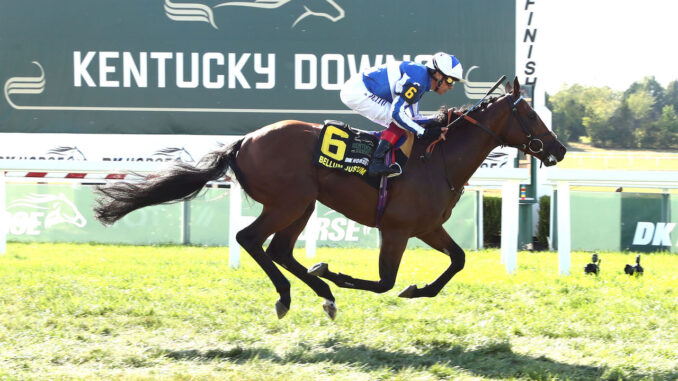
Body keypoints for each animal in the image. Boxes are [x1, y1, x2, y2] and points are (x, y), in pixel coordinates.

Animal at [94, 78, 568, 320]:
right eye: (530, 114)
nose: (559, 149)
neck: (439, 158)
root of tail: (243, 140)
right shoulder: (396, 229)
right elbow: (384, 281)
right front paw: (336, 273)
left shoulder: (428, 227)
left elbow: (458, 260)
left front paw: (419, 289)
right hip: (288, 201)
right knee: (252, 240)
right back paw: (295, 293)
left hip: (303, 205)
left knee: (279, 250)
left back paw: (319, 293)